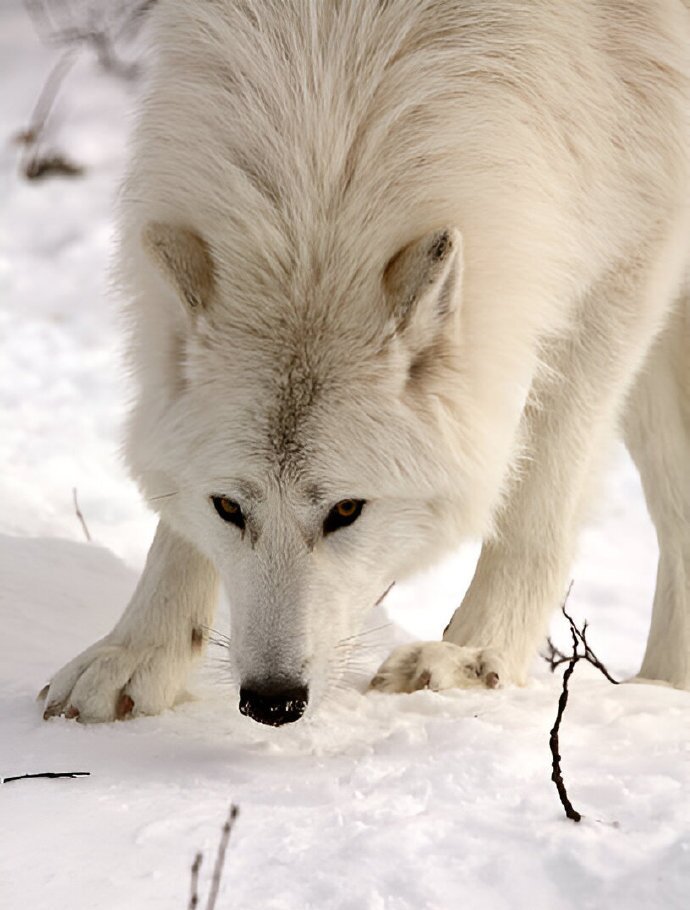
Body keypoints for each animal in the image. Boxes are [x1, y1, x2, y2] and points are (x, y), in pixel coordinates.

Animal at [41, 0, 688, 728]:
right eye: (228, 507)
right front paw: (140, 653)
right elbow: (176, 523)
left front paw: (475, 657)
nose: (271, 700)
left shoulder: (631, 248)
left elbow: (538, 496)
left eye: (347, 510)